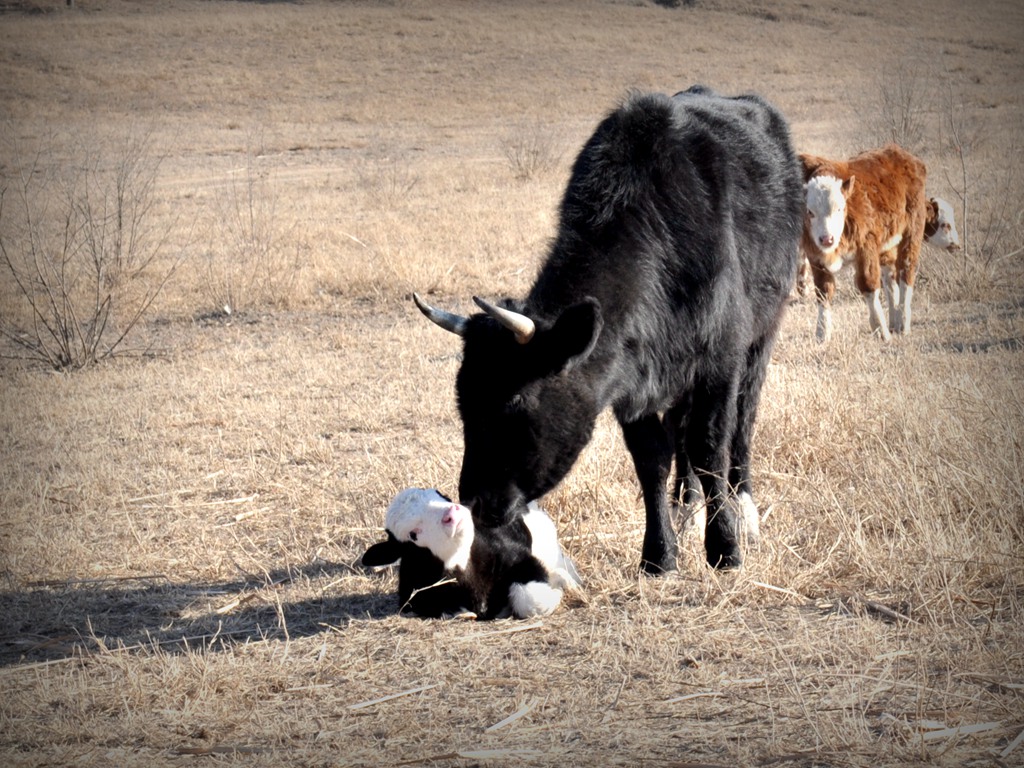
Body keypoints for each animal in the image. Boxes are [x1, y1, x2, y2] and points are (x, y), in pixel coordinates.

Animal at [364, 489, 581, 622]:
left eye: (443, 496)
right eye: (413, 534)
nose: (453, 511)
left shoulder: (521, 559)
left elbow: (530, 600)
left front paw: (558, 591)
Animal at [411, 88, 802, 573]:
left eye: (515, 401)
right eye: (463, 400)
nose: (475, 504)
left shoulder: (720, 361)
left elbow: (712, 446)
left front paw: (725, 548)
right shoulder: (629, 381)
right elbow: (652, 459)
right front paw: (660, 554)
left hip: (760, 341)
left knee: (743, 422)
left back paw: (743, 511)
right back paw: (686, 509)